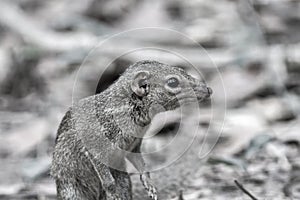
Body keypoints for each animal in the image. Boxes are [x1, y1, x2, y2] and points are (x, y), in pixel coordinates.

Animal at [50, 60, 212, 199]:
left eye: (182, 69)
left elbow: (140, 163)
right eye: (173, 82)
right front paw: (112, 190)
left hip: (124, 180)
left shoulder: (134, 144)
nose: (208, 89)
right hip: (71, 189)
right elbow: (104, 174)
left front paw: (149, 183)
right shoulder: (94, 143)